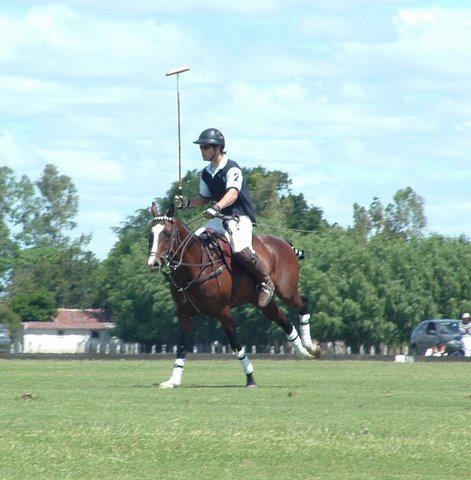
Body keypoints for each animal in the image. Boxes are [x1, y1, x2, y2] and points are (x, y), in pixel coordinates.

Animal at [147, 202, 319, 388]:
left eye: (167, 233)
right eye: (150, 234)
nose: (153, 263)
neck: (195, 266)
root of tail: (284, 242)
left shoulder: (223, 311)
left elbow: (236, 343)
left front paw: (250, 379)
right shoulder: (184, 313)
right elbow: (182, 345)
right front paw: (173, 380)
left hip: (286, 291)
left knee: (303, 302)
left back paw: (310, 346)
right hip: (260, 300)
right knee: (285, 321)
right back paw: (303, 352)